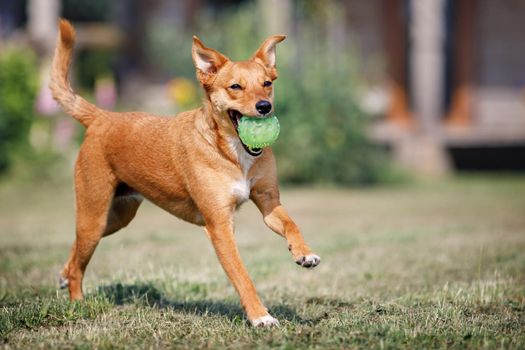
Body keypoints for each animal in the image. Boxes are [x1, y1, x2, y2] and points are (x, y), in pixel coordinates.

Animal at [50, 18, 320, 326]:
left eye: (267, 84)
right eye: (235, 86)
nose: (265, 106)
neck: (232, 152)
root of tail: (102, 117)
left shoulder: (268, 202)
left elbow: (291, 224)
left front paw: (305, 253)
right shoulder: (220, 226)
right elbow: (242, 276)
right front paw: (260, 317)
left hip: (117, 217)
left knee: (76, 250)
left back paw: (63, 274)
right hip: (94, 216)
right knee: (79, 264)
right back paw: (77, 302)